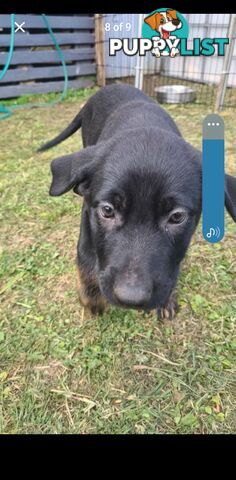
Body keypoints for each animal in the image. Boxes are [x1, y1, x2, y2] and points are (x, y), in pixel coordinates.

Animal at [39, 84, 236, 318]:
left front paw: (167, 299)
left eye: (177, 217)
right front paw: (91, 298)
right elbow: (85, 256)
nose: (130, 298)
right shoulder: (88, 214)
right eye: (107, 211)